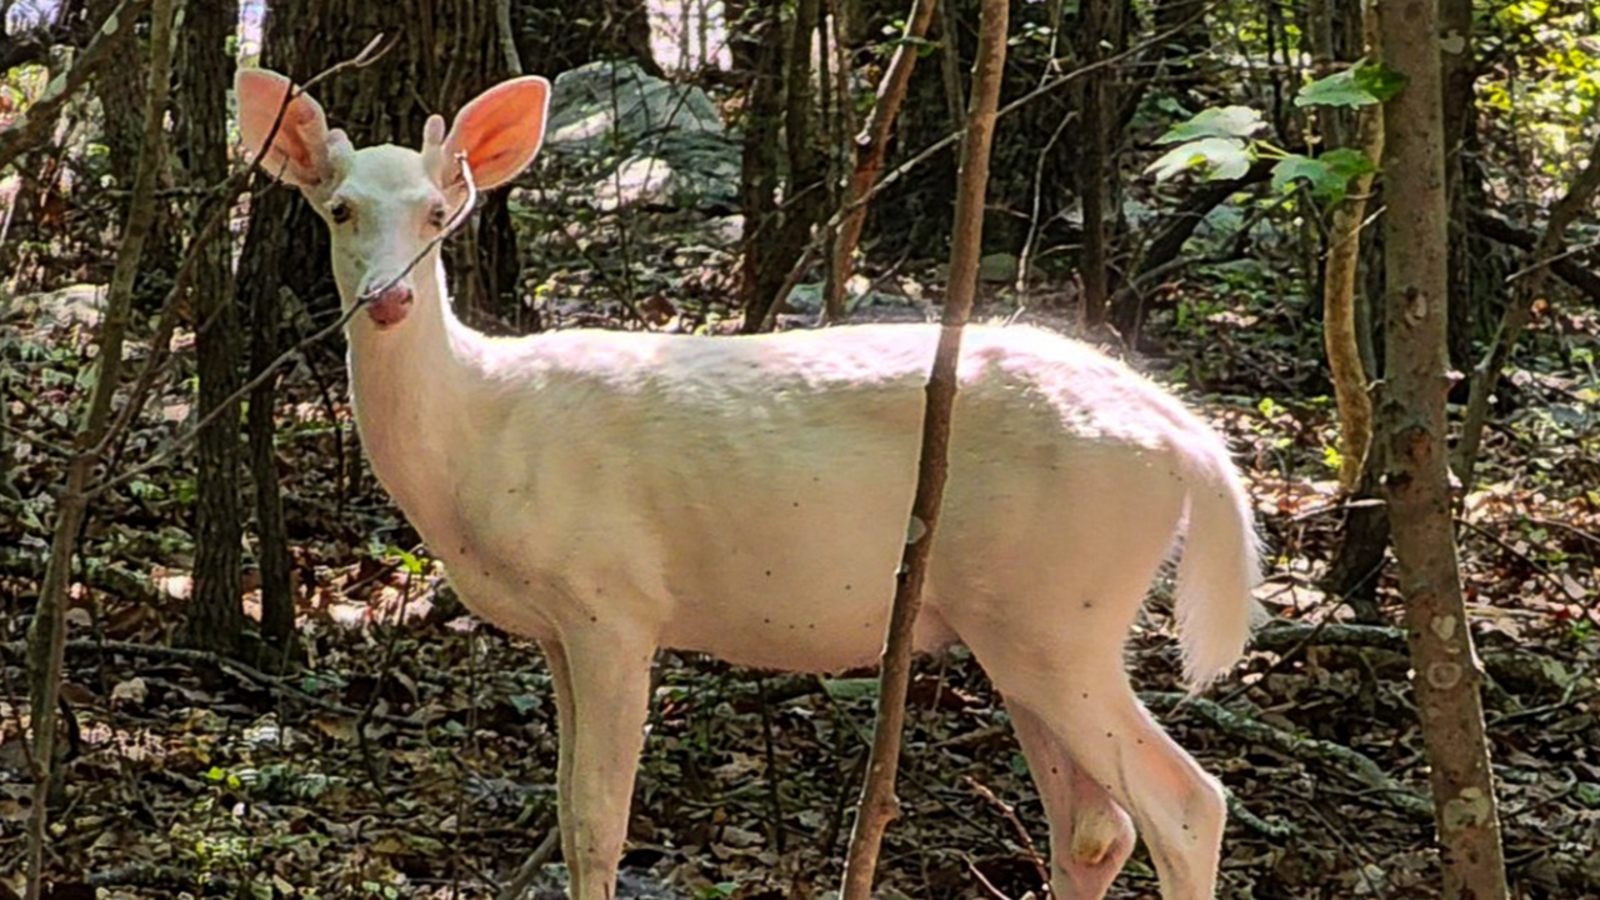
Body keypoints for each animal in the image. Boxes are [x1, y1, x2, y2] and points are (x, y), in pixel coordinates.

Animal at [235, 67, 1260, 900]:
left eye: (439, 214)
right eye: (338, 209)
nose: (389, 298)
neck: (481, 432)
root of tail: (1186, 439)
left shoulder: (613, 601)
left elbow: (598, 823)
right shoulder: (557, 629)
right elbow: (566, 814)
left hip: (1060, 607)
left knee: (1184, 804)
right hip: (1022, 619)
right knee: (1093, 826)